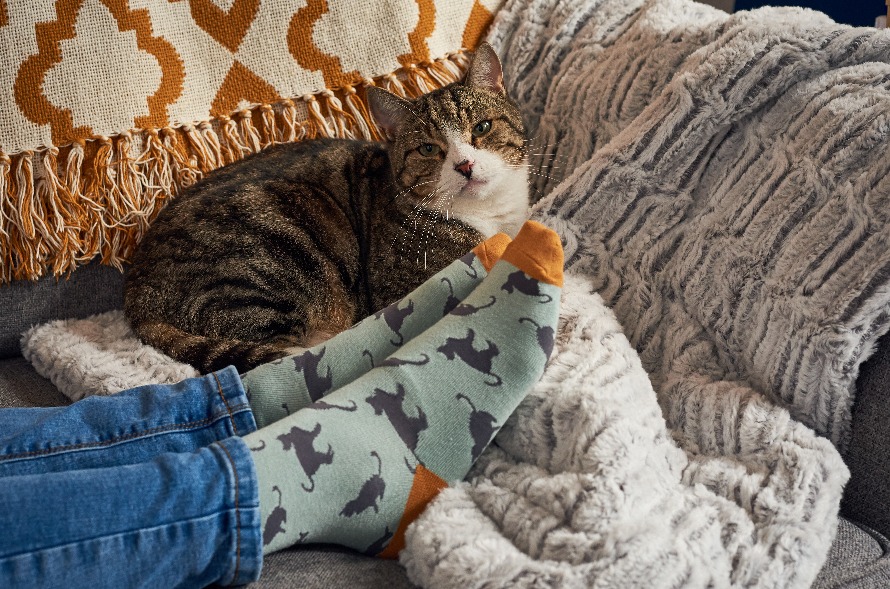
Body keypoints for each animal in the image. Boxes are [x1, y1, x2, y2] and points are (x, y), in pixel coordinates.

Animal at [125, 43, 528, 372]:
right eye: (429, 149)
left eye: (482, 128)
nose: (465, 166)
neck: (490, 216)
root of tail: (137, 293)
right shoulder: (402, 284)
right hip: (268, 263)